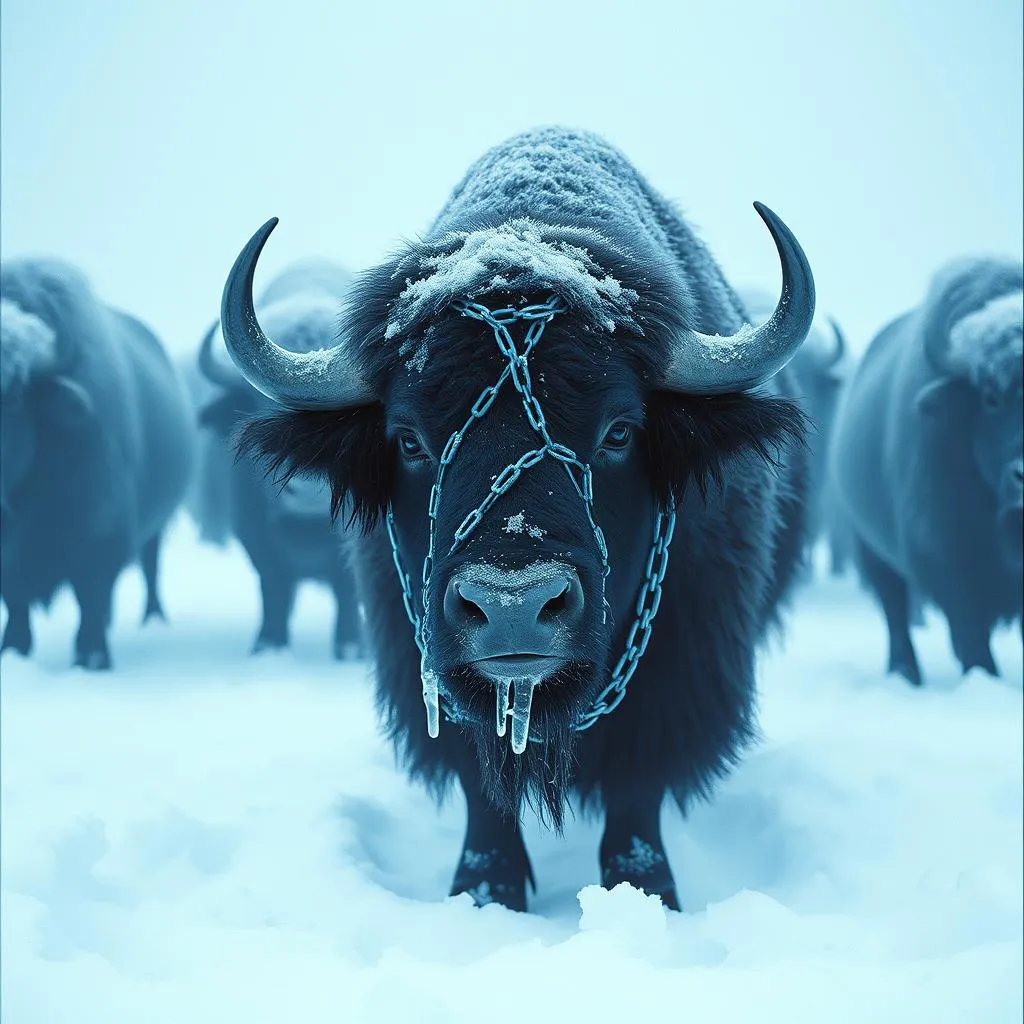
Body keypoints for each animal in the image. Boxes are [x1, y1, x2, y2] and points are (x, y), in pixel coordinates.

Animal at [1, 259, 195, 669]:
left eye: (12, 399)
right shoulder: (10, 561)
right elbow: (16, 603)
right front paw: (13, 649)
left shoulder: (101, 541)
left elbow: (89, 598)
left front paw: (92, 657)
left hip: (157, 527)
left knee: (150, 567)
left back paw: (152, 618)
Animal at [192, 261, 364, 660]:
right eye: (261, 405)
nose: (310, 492)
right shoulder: (256, 540)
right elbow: (273, 587)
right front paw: (267, 644)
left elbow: (347, 590)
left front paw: (350, 647)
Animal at [222, 127, 815, 911]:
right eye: (409, 440)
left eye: (619, 431)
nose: (512, 605)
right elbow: (484, 795)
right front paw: (484, 891)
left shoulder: (680, 680)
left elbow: (636, 796)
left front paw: (649, 891)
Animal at [830, 258, 1023, 684]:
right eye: (991, 397)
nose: (1023, 473)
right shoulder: (950, 565)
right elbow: (973, 643)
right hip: (871, 551)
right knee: (895, 610)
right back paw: (905, 672)